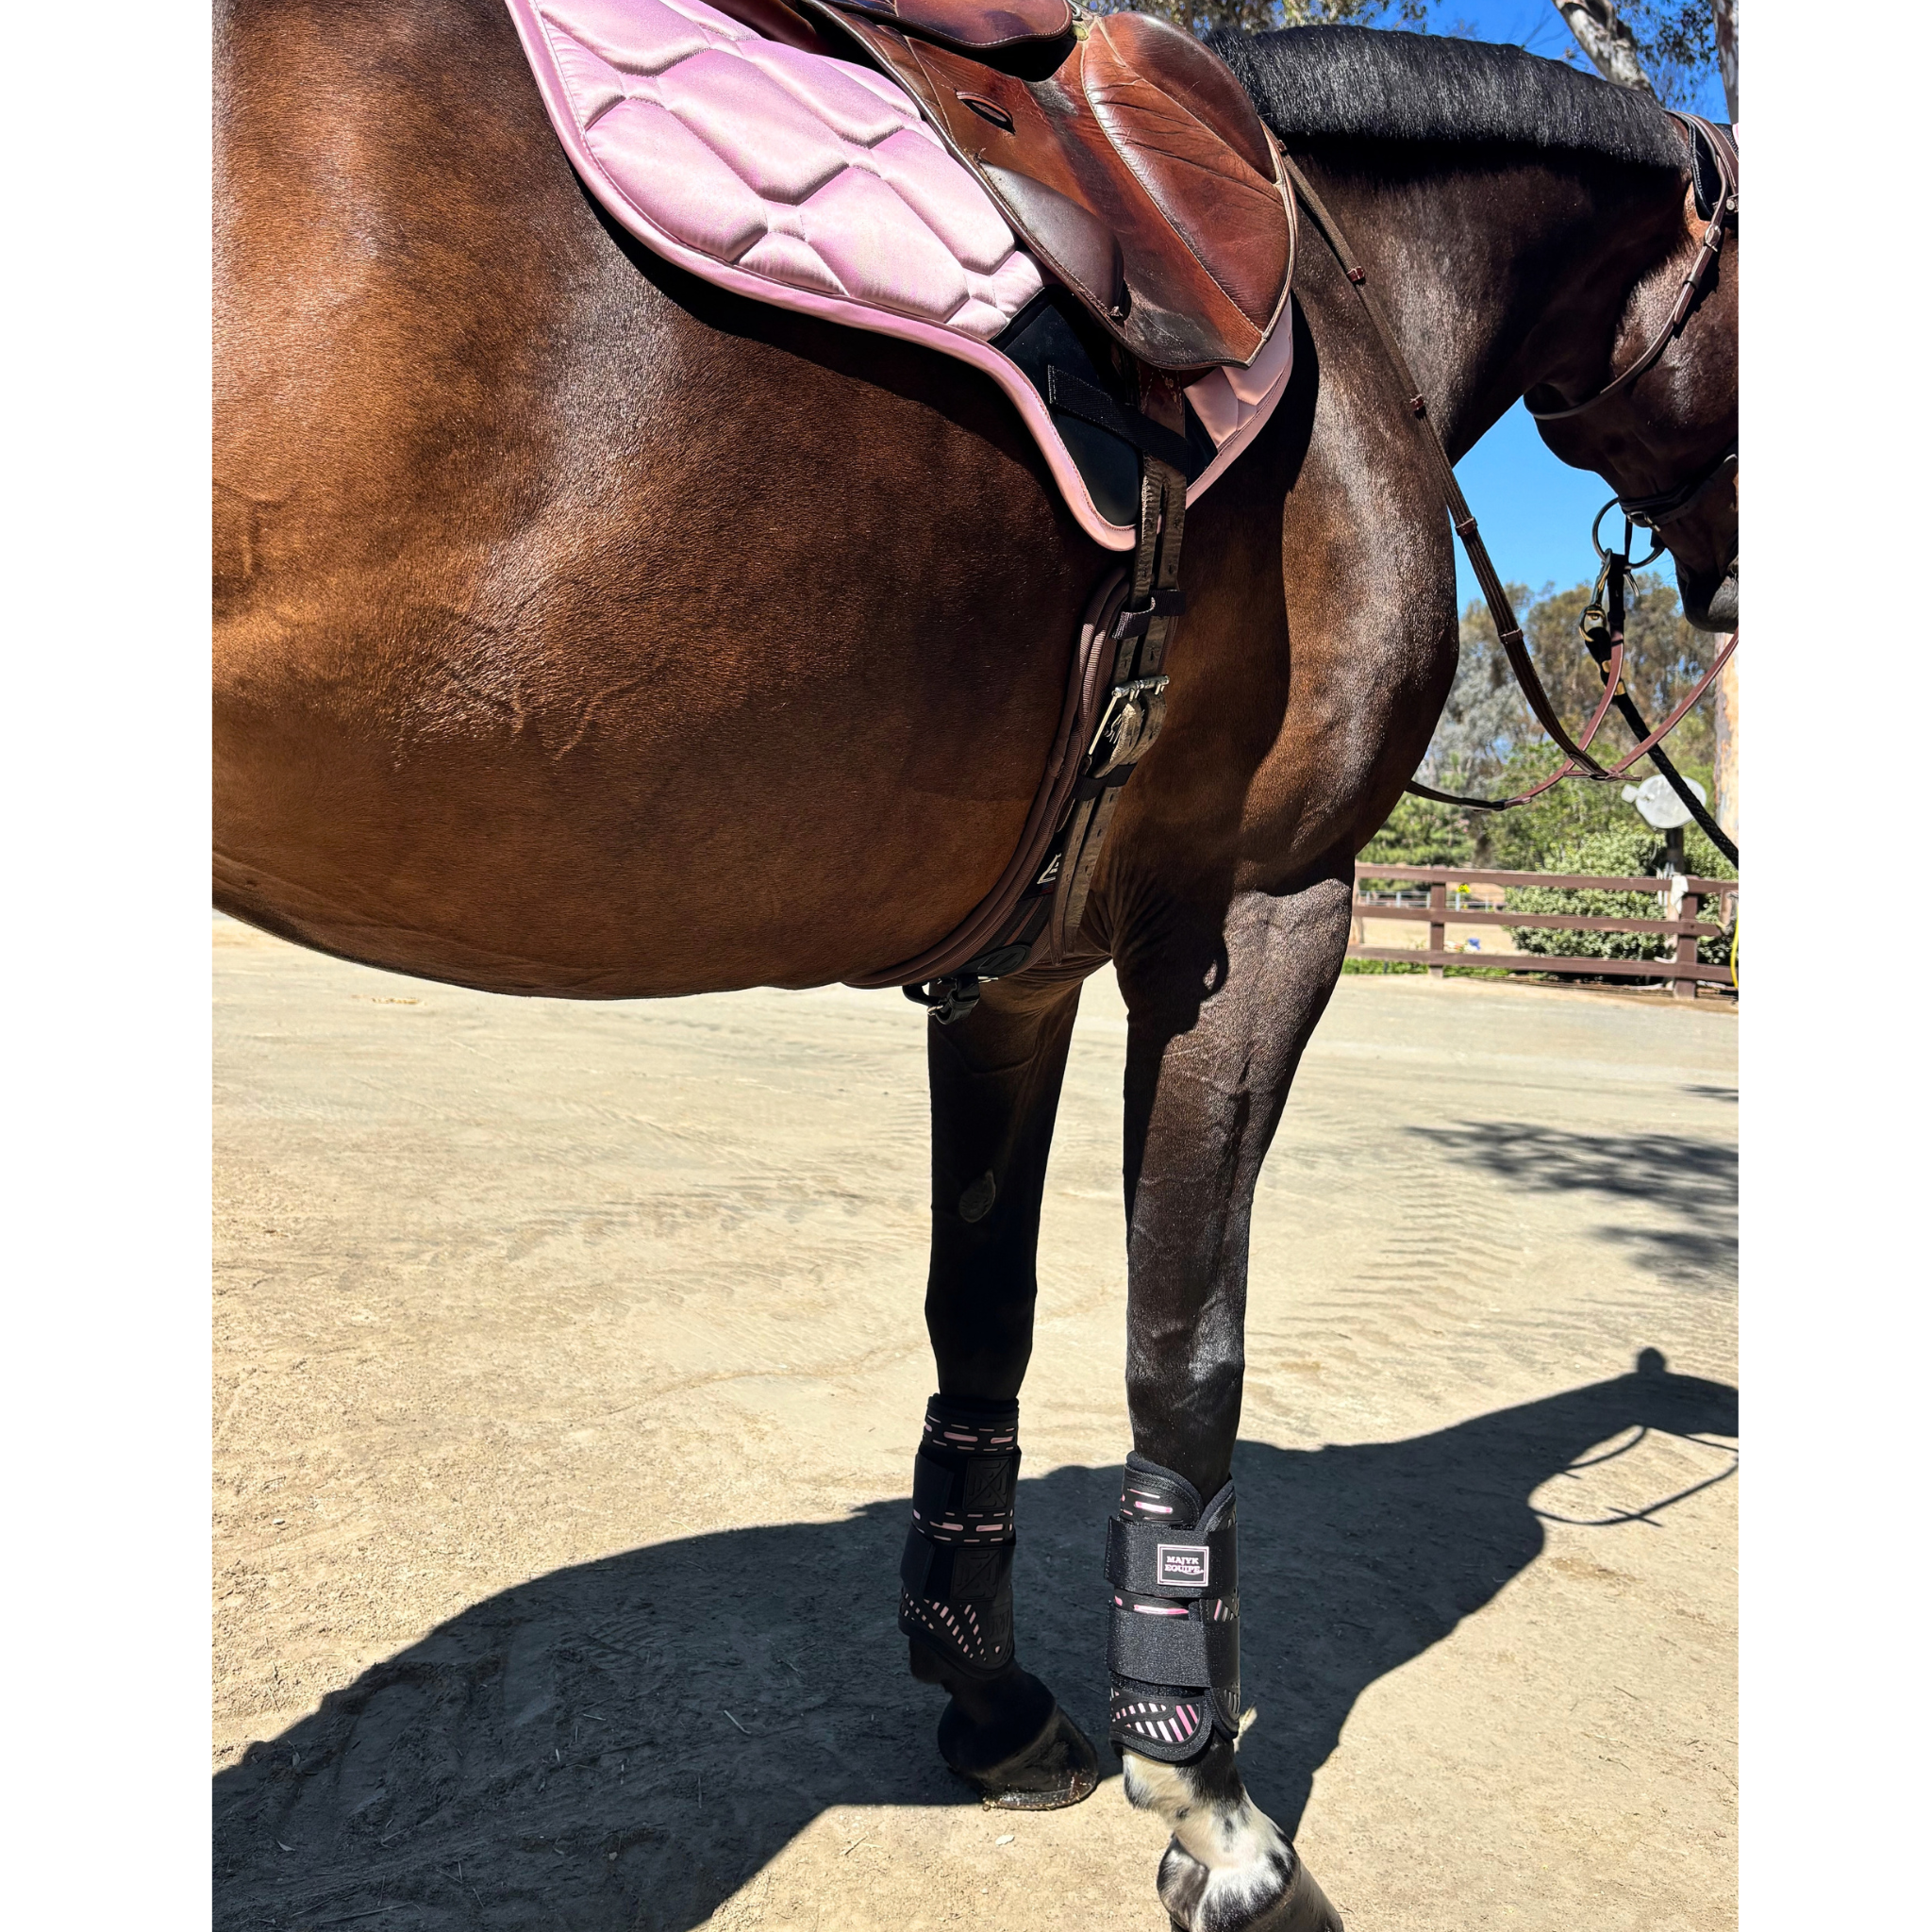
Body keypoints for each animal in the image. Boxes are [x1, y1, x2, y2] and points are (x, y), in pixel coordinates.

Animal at [213, 6, 1738, 1926]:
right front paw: (1214, 1807)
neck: (1352, 283)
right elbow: (1186, 1355)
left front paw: (992, 1697)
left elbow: (980, 1317)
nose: (1729, 583)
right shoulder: (1258, 917)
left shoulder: (1020, 972)